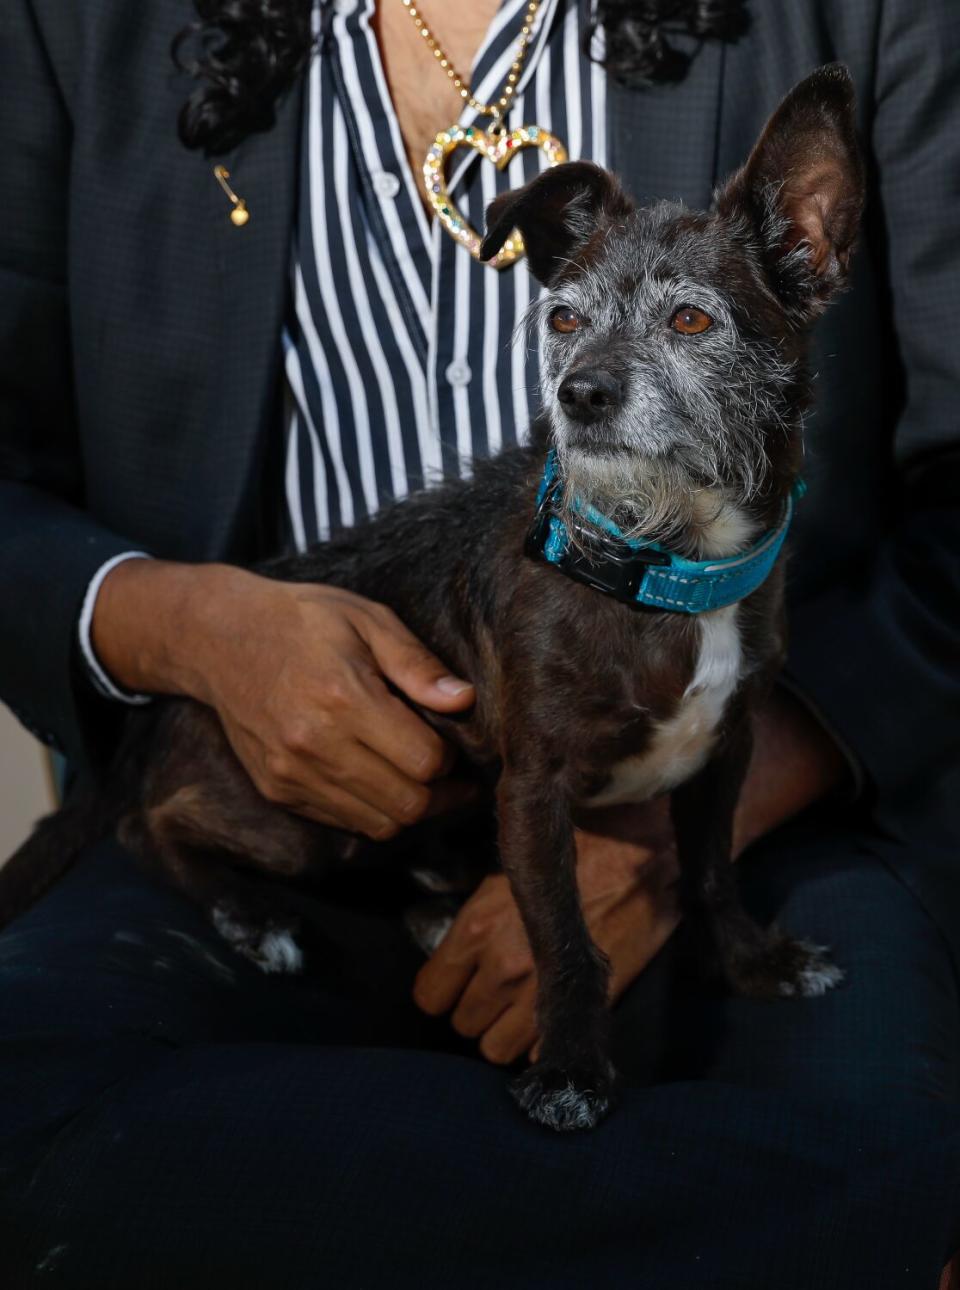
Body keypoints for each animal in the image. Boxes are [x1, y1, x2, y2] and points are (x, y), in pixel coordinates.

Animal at [0, 68, 867, 1130]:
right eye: (564, 320)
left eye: (692, 321)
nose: (580, 395)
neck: (665, 569)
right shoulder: (534, 790)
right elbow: (565, 939)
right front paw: (571, 1069)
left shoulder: (727, 750)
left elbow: (709, 870)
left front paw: (752, 963)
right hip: (298, 817)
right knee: (147, 825)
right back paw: (254, 914)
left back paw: (433, 897)